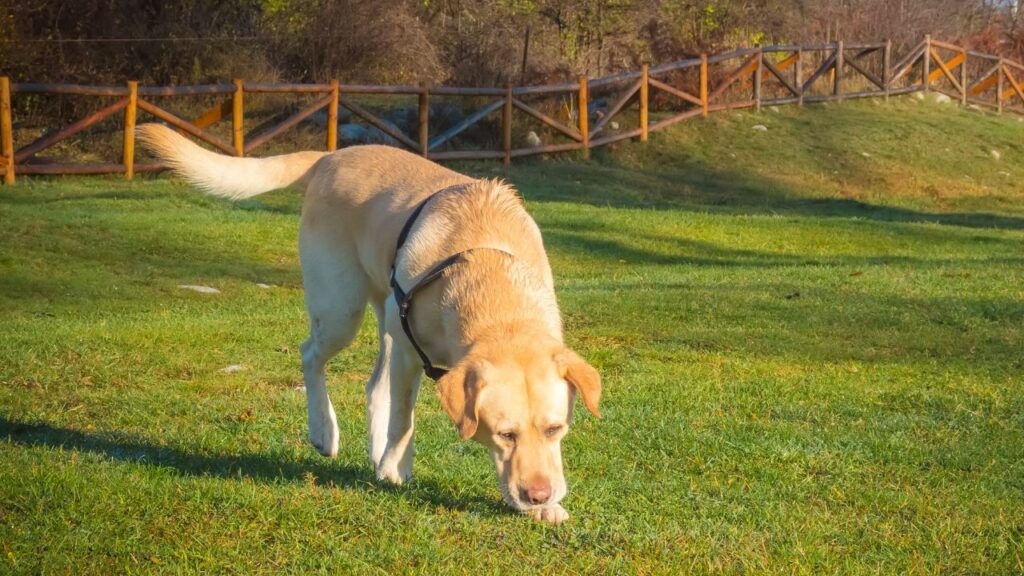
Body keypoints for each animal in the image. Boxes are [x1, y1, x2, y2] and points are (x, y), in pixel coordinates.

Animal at [136, 123, 598, 522]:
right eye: (504, 434)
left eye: (555, 428)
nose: (537, 494)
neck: (486, 268)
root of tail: (331, 156)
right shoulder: (411, 351)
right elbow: (404, 418)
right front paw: (396, 466)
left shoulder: (407, 339)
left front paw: (546, 508)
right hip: (343, 310)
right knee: (312, 355)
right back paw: (325, 431)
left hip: (385, 316)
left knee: (374, 384)